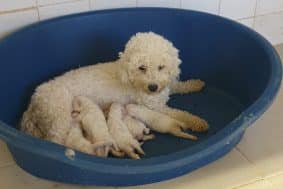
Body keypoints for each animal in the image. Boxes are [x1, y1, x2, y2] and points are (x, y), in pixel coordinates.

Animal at [21, 31, 209, 159]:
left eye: (161, 67)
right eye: (142, 67)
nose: (153, 87)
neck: (130, 78)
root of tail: (34, 101)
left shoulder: (165, 89)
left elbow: (178, 85)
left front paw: (195, 84)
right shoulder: (155, 107)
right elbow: (180, 114)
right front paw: (198, 122)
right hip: (60, 119)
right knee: (54, 141)